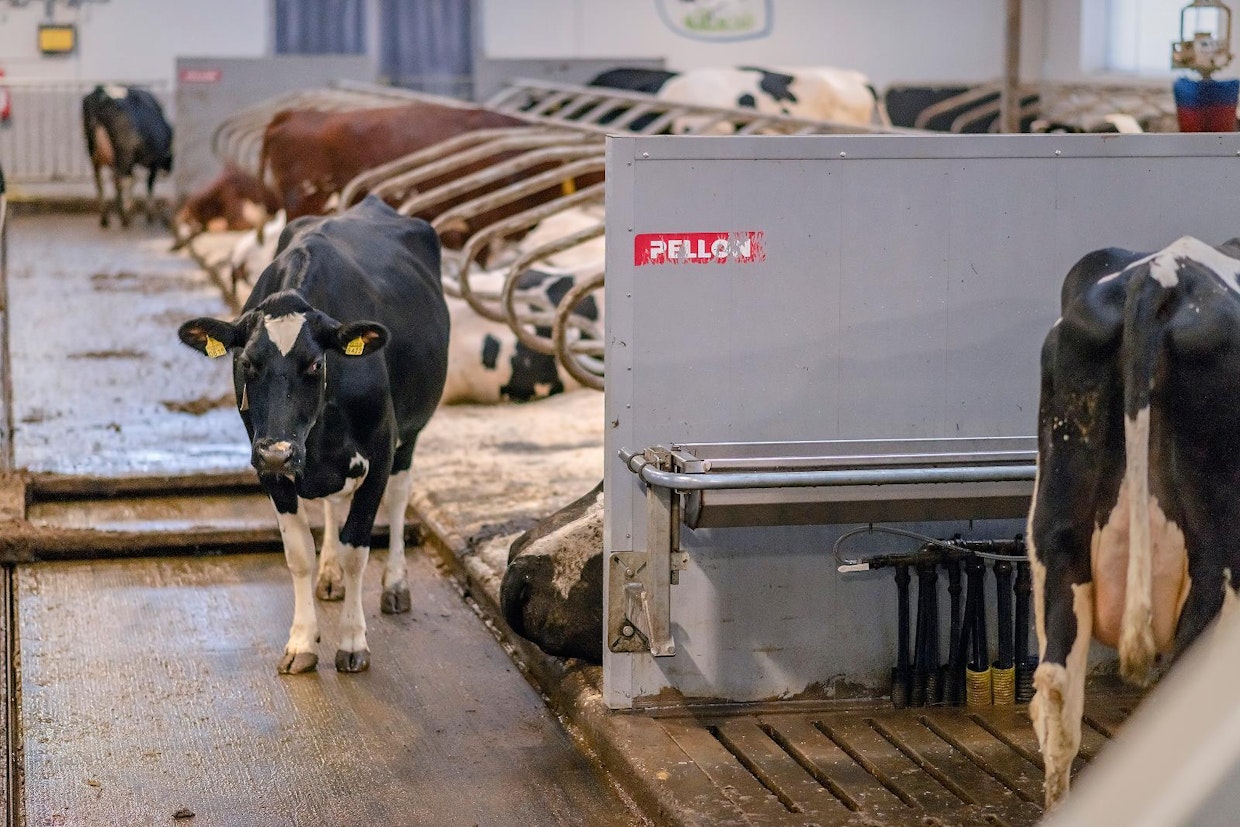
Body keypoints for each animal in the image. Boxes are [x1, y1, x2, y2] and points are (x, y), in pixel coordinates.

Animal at [82, 85, 173, 228]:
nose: (168, 171)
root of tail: (100, 93)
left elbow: (133, 180)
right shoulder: (154, 161)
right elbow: (148, 183)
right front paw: (149, 215)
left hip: (95, 152)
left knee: (100, 181)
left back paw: (105, 218)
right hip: (124, 153)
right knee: (121, 180)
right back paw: (124, 217)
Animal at [177, 195, 449, 674]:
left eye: (316, 363)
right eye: (246, 363)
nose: (278, 452)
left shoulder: (378, 453)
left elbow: (357, 547)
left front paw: (353, 641)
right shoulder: (269, 467)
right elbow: (299, 551)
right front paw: (302, 640)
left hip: (410, 436)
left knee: (399, 498)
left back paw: (395, 584)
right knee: (330, 505)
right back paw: (330, 576)